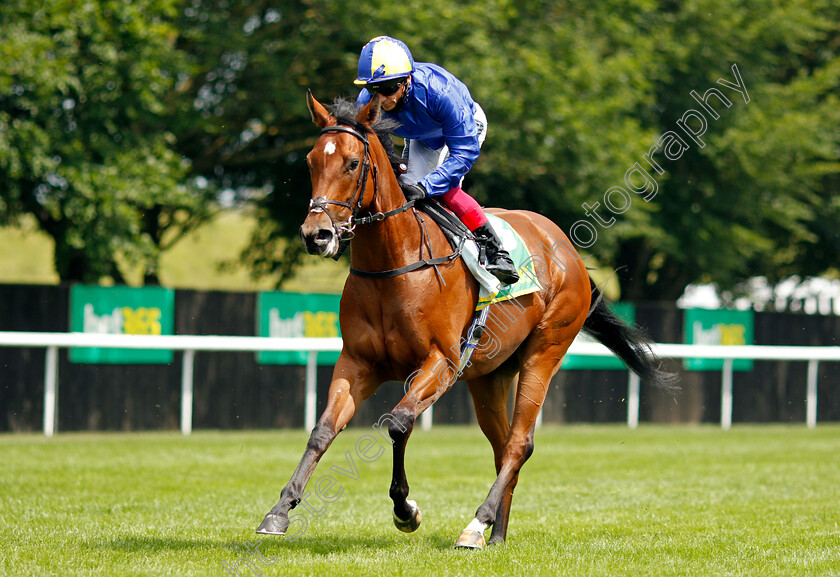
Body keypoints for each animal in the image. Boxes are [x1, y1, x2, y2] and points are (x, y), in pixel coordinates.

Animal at [256, 92, 676, 548]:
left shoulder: (442, 361)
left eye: (352, 163)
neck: (396, 262)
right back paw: (496, 534)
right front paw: (279, 511)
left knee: (519, 443)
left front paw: (406, 510)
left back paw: (477, 524)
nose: (316, 235)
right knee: (502, 444)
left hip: (545, 350)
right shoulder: (358, 362)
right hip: (489, 377)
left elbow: (398, 423)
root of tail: (567, 249)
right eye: (311, 161)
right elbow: (323, 430)